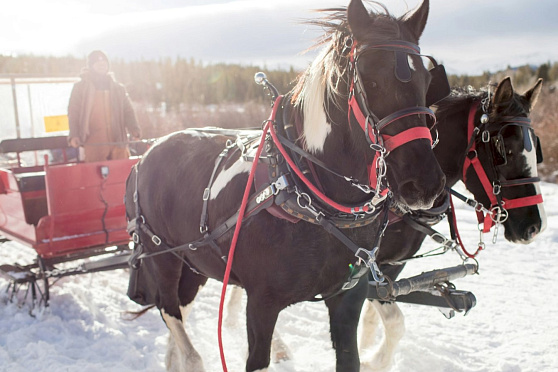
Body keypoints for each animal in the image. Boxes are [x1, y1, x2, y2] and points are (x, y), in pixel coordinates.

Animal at [124, 1, 448, 370]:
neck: (311, 194)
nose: (424, 183)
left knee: (181, 309)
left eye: (427, 80)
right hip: (161, 256)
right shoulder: (262, 303)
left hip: (196, 260)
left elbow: (353, 355)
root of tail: (146, 154)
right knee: (172, 315)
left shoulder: (347, 298)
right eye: (370, 79)